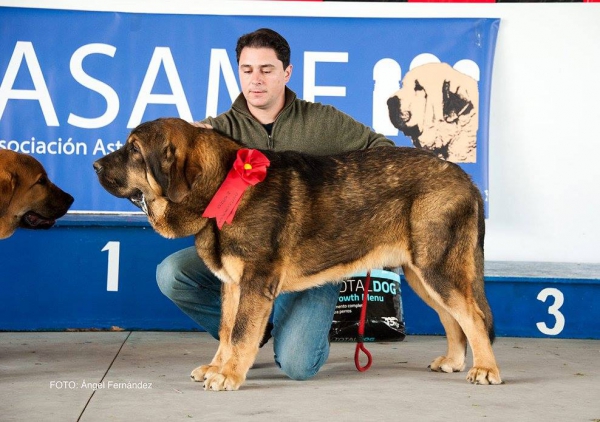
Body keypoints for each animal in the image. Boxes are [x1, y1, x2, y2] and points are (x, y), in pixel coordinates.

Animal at [92, 117, 502, 390]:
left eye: (133, 150)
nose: (95, 164)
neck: (223, 184)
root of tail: (466, 179)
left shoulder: (255, 282)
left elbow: (241, 332)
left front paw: (229, 376)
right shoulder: (233, 284)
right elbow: (226, 330)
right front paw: (218, 367)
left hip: (437, 267)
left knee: (473, 316)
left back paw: (485, 369)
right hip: (421, 273)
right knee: (453, 318)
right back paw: (454, 361)